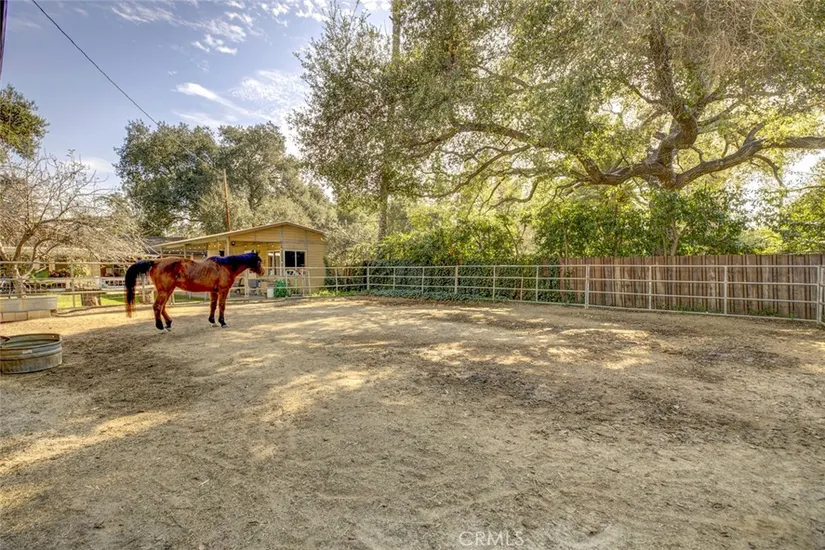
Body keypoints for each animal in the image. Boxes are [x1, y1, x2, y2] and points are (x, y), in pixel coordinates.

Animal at [124, 252, 264, 332]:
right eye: (259, 260)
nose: (262, 272)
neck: (225, 266)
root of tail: (155, 261)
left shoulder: (213, 291)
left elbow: (213, 306)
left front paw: (213, 321)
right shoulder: (223, 291)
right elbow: (222, 306)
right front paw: (223, 322)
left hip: (168, 290)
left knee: (162, 307)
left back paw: (168, 324)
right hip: (165, 291)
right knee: (157, 306)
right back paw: (161, 327)